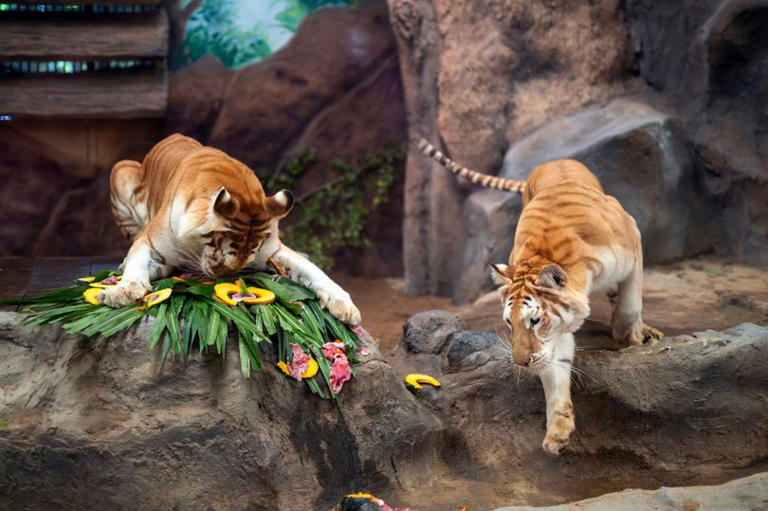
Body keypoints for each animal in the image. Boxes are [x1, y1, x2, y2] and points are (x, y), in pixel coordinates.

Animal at [101, 133, 361, 326]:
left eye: (250, 254)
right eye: (221, 251)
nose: (223, 277)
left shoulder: (273, 252)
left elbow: (313, 270)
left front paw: (345, 305)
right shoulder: (148, 239)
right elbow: (137, 260)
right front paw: (121, 291)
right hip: (120, 169)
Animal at [417, 138, 663, 455]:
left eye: (534, 321)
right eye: (508, 323)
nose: (521, 363)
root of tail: (552, 161)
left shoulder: (633, 239)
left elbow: (631, 305)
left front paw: (628, 338)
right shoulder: (555, 335)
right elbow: (556, 368)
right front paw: (557, 430)